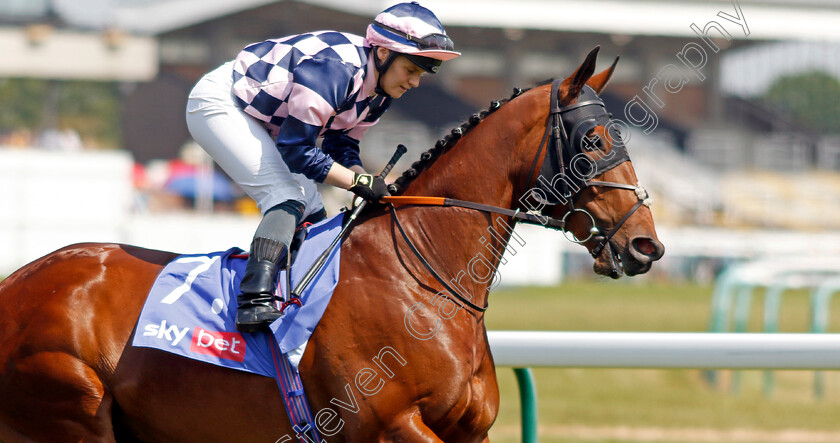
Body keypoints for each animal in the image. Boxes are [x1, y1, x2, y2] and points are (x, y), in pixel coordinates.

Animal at [0, 46, 664, 442]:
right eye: (595, 140)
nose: (646, 246)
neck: (423, 282)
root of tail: (18, 282)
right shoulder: (391, 426)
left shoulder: (467, 432)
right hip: (69, 411)